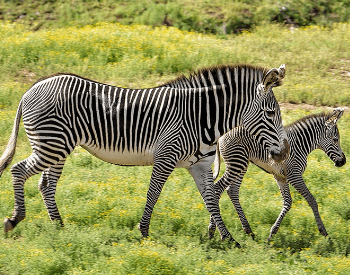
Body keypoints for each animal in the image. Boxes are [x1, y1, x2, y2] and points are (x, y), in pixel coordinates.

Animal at [0, 65, 288, 248]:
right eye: (271, 113)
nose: (284, 152)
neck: (201, 119)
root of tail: (31, 89)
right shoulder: (165, 157)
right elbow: (154, 194)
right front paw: (144, 231)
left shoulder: (202, 165)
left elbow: (211, 200)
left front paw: (229, 239)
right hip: (51, 144)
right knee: (18, 170)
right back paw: (14, 219)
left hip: (56, 147)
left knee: (46, 184)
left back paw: (59, 226)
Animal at [209, 108, 346, 242]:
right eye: (335, 139)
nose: (343, 161)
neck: (300, 144)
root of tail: (223, 134)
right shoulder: (294, 175)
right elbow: (311, 200)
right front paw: (325, 233)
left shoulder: (281, 177)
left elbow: (288, 202)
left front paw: (272, 234)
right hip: (237, 163)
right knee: (217, 189)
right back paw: (217, 233)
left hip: (241, 165)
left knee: (231, 191)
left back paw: (247, 231)